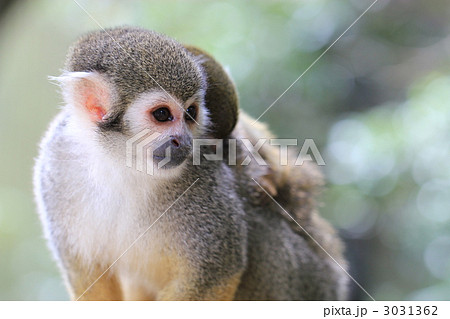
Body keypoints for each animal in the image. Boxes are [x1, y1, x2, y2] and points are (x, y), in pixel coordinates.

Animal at [34, 26, 348, 300]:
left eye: (191, 113)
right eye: (162, 114)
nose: (184, 141)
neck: (122, 161)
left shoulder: (205, 181)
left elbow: (216, 273)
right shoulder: (56, 163)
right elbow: (87, 276)